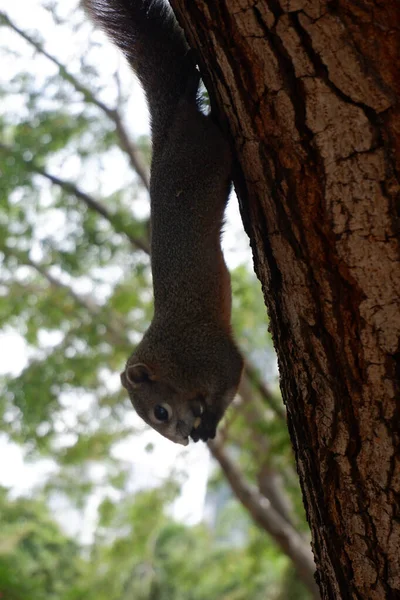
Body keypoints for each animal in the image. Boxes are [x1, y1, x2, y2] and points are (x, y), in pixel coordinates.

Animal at [83, 0, 244, 446]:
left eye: (160, 411)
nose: (183, 439)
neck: (174, 360)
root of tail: (169, 126)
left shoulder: (211, 354)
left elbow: (233, 376)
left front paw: (210, 421)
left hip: (205, 150)